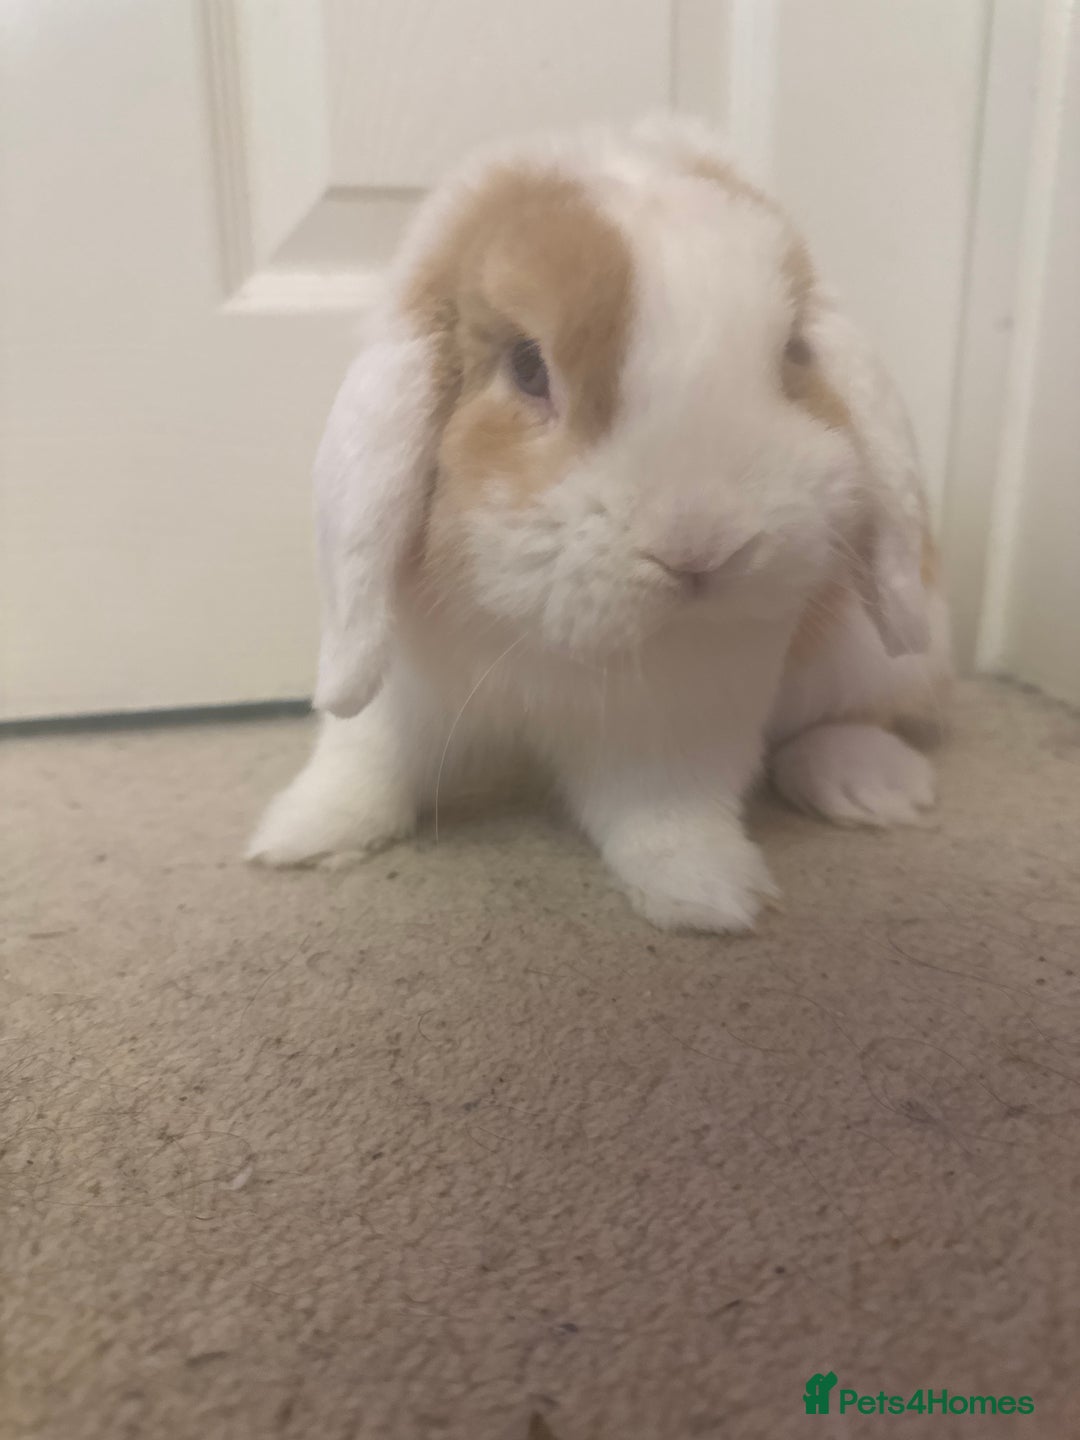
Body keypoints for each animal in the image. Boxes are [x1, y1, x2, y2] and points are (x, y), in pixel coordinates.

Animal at [247, 115, 951, 933]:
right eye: (527, 366)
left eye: (791, 355)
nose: (702, 548)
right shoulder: (403, 688)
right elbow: (364, 761)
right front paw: (299, 837)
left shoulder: (685, 715)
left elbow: (669, 813)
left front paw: (706, 894)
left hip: (879, 655)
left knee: (853, 715)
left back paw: (872, 786)